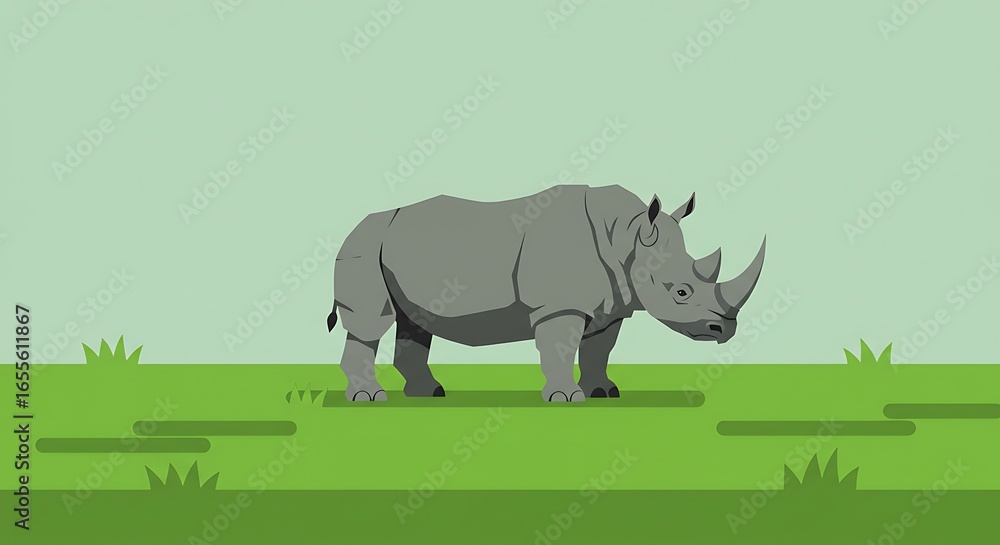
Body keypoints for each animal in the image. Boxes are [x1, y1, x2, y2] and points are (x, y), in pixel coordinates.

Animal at [327, 184, 765, 402]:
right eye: (681, 291)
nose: (724, 330)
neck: (626, 236)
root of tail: (358, 225)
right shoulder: (559, 306)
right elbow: (561, 347)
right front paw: (567, 398)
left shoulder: (613, 303)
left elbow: (598, 349)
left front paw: (604, 392)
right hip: (363, 245)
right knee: (372, 322)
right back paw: (369, 399)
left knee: (414, 322)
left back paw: (430, 394)